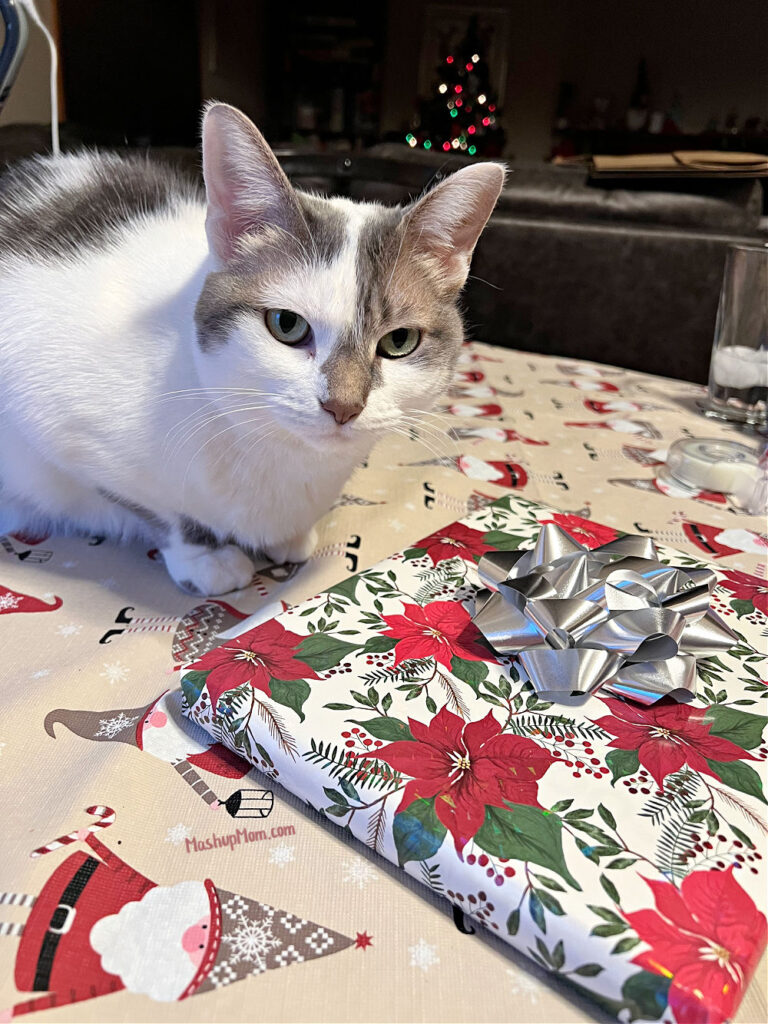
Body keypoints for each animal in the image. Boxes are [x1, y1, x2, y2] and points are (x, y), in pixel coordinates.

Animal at [1, 101, 505, 593]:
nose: (342, 406)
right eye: (286, 324)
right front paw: (204, 557)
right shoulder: (55, 419)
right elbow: (164, 511)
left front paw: (289, 535)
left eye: (399, 341)